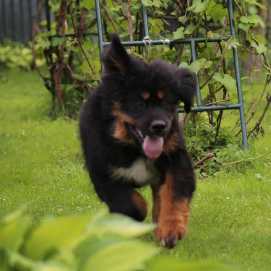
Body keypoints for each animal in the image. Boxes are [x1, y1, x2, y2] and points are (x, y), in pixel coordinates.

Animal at [79, 35, 197, 250]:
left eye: (167, 102)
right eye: (139, 103)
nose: (159, 126)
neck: (133, 148)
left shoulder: (176, 157)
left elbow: (174, 195)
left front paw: (170, 230)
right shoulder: (101, 172)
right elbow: (129, 204)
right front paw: (133, 220)